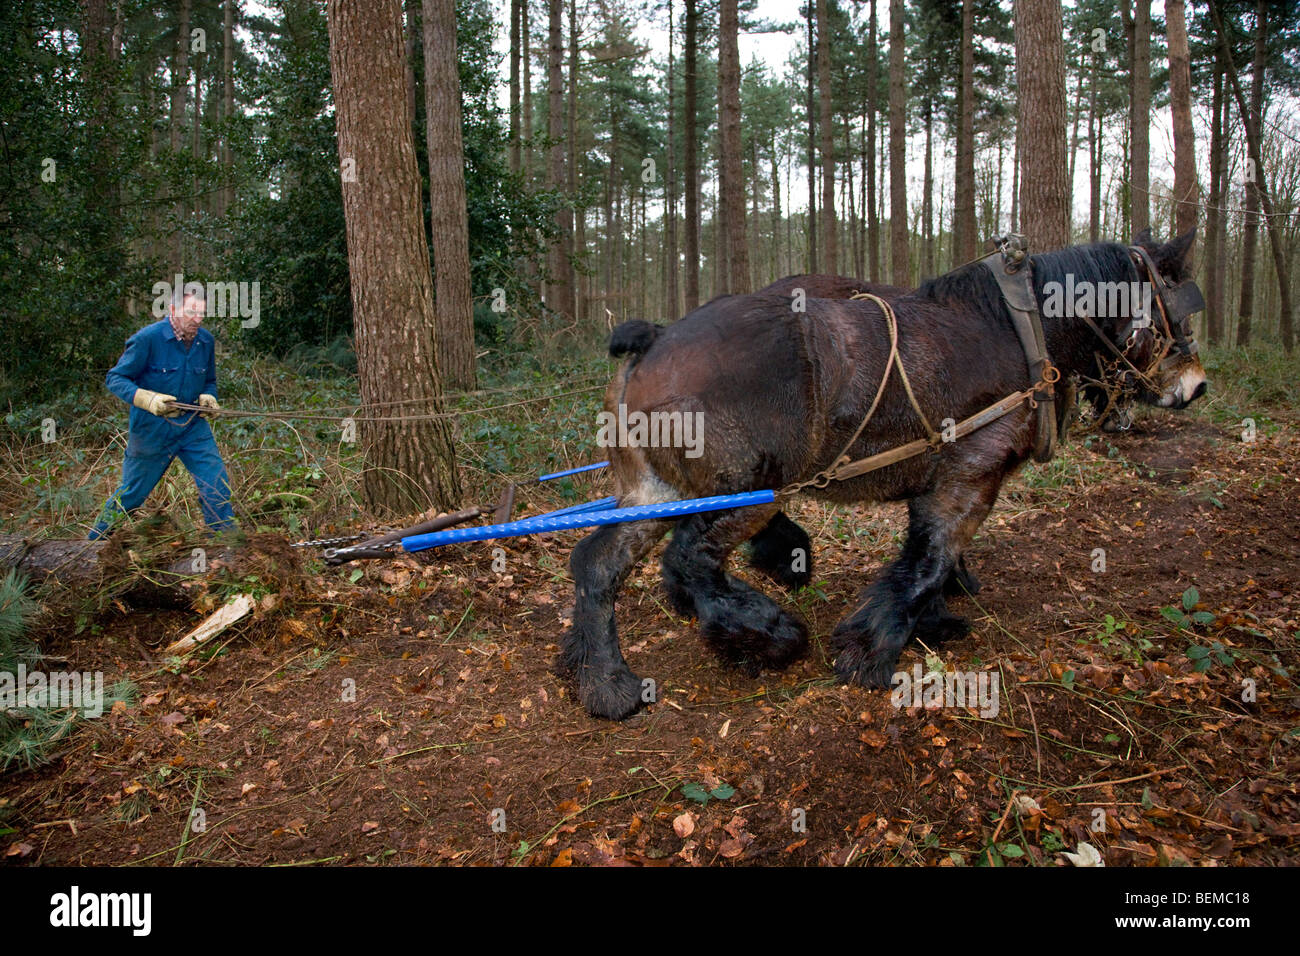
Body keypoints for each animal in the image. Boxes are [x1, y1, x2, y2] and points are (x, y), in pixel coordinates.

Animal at [561, 231, 1206, 720]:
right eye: (1178, 308)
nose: (1198, 386)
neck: (1020, 331)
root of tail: (655, 340)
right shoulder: (973, 475)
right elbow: (930, 561)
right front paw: (870, 651)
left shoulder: (938, 482)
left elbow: (929, 556)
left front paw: (933, 622)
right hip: (750, 493)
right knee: (689, 564)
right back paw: (768, 634)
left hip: (658, 492)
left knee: (598, 563)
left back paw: (606, 684)